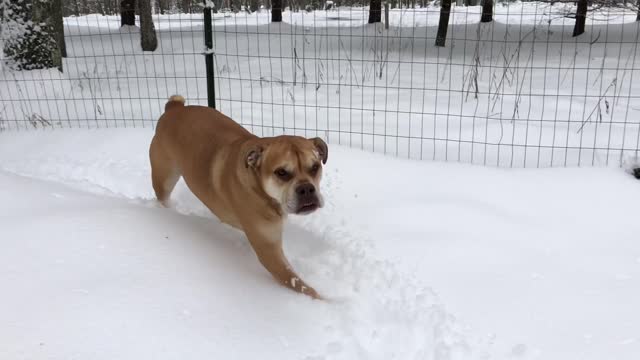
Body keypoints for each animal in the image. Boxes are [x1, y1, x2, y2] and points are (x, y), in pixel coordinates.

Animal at [149, 94, 328, 300]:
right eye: (281, 172)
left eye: (315, 167)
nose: (307, 189)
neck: (259, 186)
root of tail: (174, 108)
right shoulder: (269, 249)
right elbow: (300, 285)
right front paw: (327, 302)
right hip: (164, 177)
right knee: (163, 196)